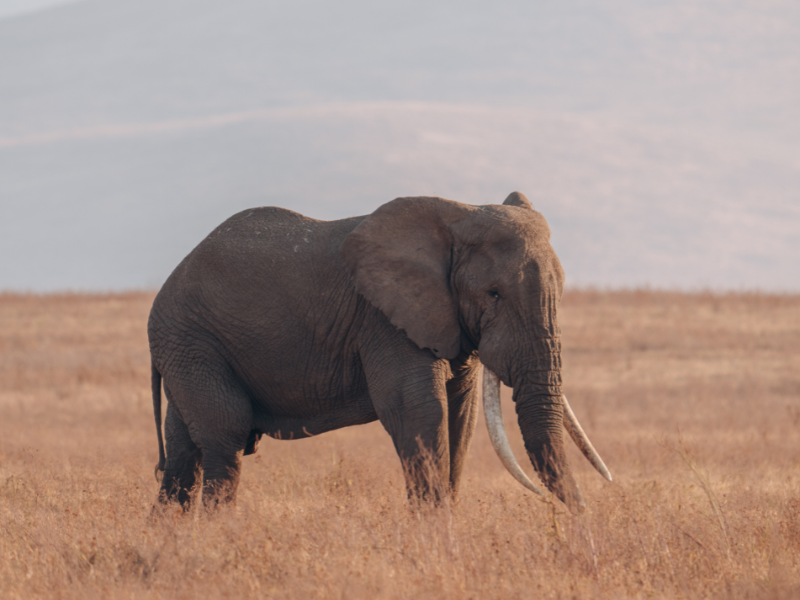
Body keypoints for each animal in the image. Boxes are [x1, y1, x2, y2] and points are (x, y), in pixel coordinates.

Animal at [149, 191, 611, 513]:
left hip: (186, 349)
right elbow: (419, 411)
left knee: (184, 450)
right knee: (224, 437)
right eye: (493, 294)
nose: (582, 525)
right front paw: (435, 540)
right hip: (191, 341)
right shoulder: (383, 321)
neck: (458, 214)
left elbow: (461, 415)